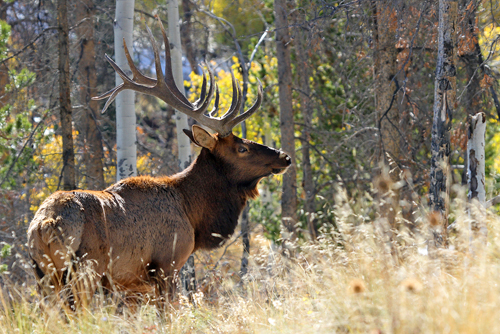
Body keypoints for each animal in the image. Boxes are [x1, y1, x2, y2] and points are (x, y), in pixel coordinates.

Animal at [27, 18, 292, 308]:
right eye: (242, 148)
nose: (284, 156)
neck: (193, 213)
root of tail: (44, 225)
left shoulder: (132, 286)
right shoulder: (167, 263)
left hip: (43, 274)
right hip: (85, 269)